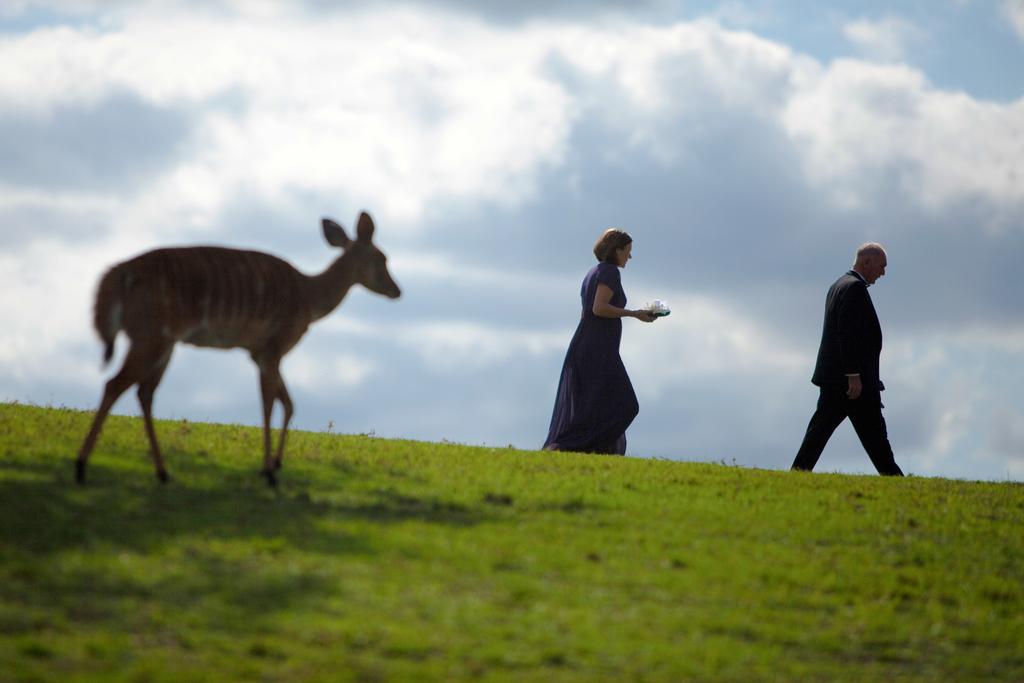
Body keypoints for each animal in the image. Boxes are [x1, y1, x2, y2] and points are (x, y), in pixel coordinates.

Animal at [74, 209, 399, 485]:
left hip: (161, 342)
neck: (308, 298)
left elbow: (287, 402)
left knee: (143, 392)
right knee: (117, 384)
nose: (397, 290)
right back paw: (81, 467)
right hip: (153, 334)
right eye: (381, 257)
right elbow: (269, 403)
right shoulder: (274, 346)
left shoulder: (258, 352)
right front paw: (268, 472)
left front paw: (276, 464)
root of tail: (116, 277)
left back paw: (163, 473)